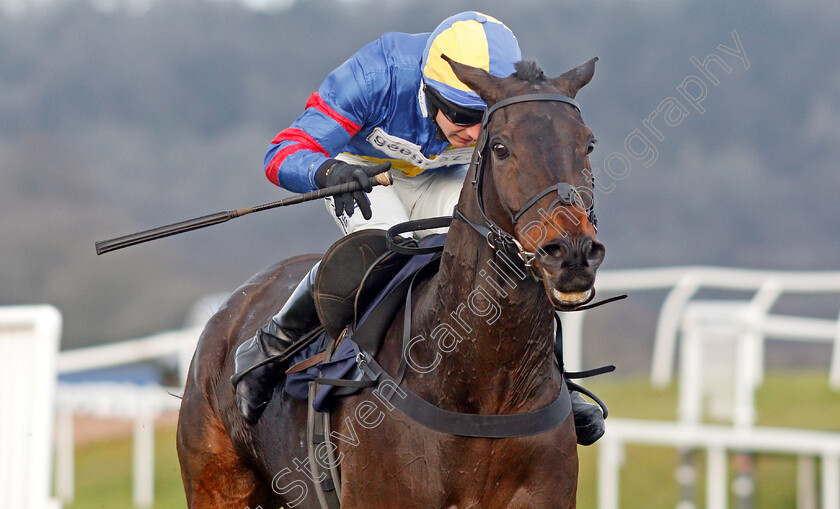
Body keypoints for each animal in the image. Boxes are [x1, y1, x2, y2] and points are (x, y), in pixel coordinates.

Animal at [179, 56, 604, 508]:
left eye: (588, 144)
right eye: (501, 148)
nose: (572, 253)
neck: (484, 387)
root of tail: (232, 308)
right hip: (217, 485)